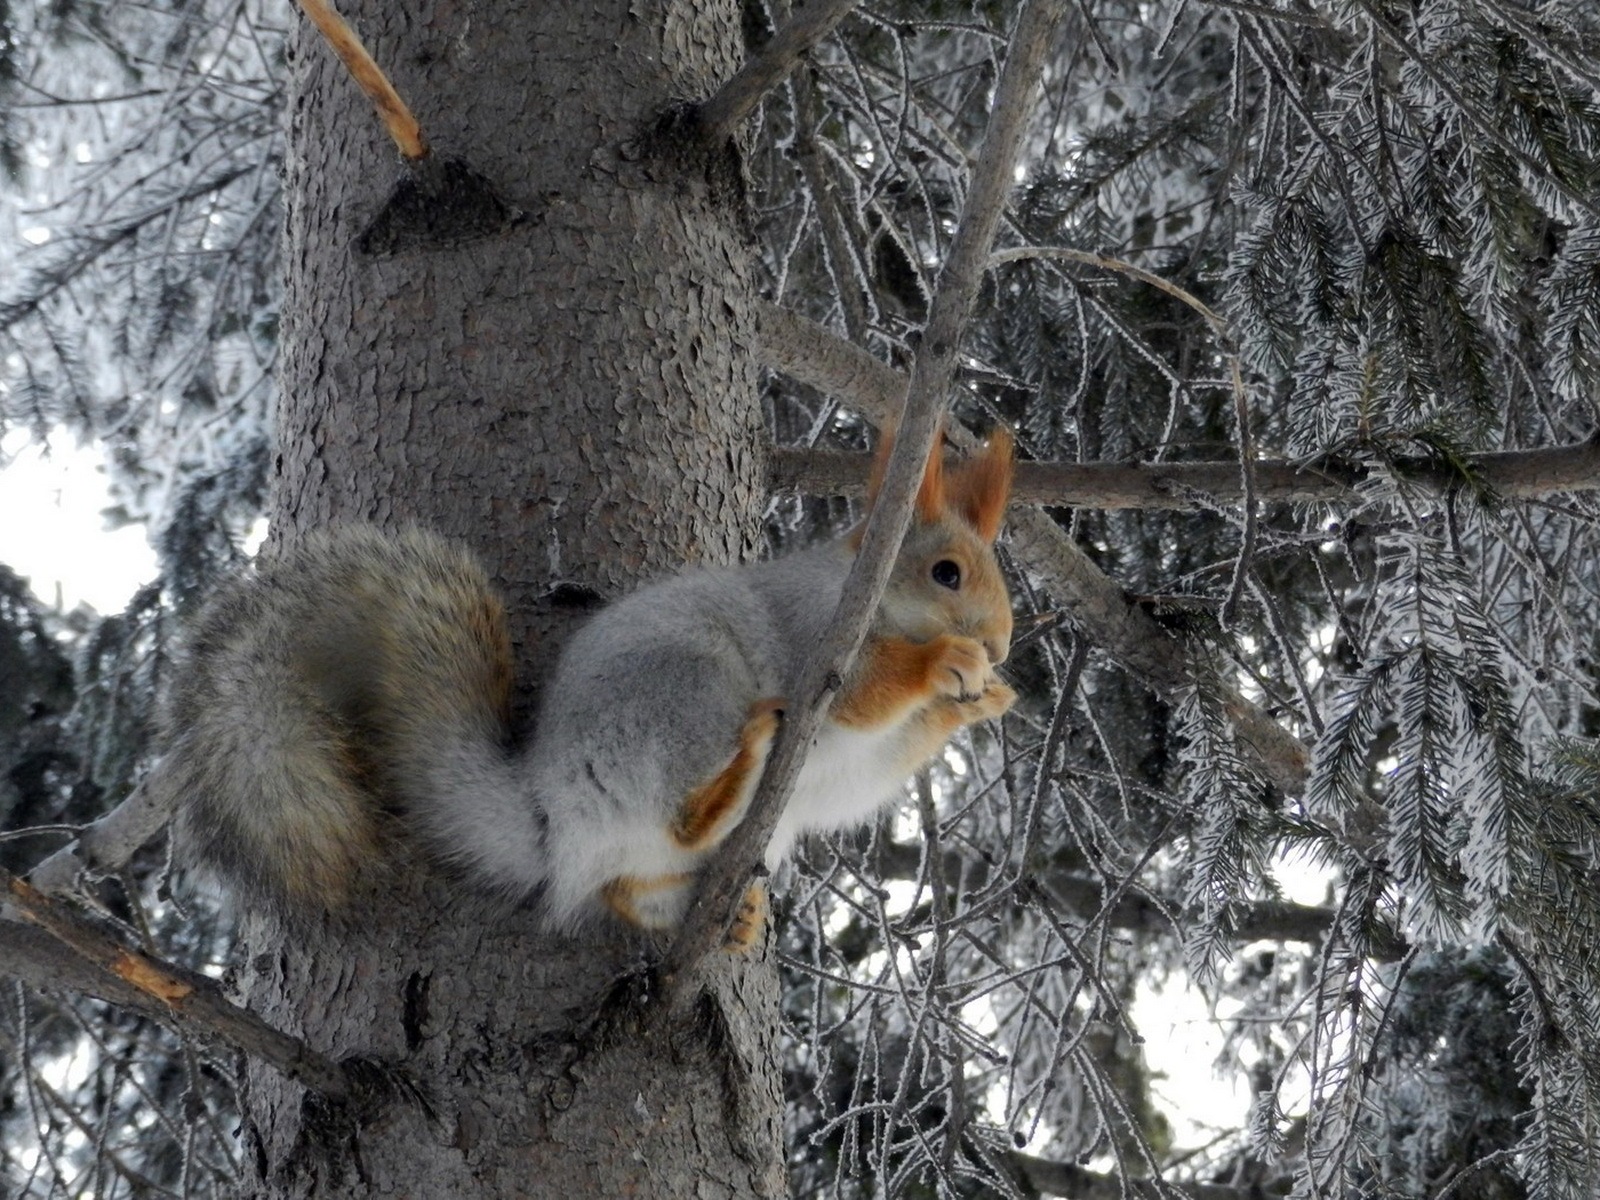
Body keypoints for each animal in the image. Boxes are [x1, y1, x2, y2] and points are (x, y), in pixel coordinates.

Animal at [159, 428, 1011, 940]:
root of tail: (554, 817)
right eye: (945, 572)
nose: (1002, 641)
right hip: (685, 694)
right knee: (682, 819)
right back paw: (736, 777)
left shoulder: (868, 759)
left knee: (627, 887)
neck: (870, 594)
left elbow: (877, 766)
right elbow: (863, 689)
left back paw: (721, 916)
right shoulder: (816, 635)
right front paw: (946, 665)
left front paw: (987, 700)